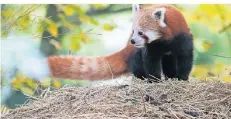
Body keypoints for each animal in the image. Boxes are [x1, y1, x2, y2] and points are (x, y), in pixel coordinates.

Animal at [46, 3, 193, 82]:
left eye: (141, 33)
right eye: (133, 31)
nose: (132, 40)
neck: (164, 41)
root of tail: (126, 48)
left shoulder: (182, 38)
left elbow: (185, 57)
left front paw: (181, 77)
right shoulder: (151, 47)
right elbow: (151, 61)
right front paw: (154, 79)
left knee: (169, 60)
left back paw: (170, 76)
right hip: (135, 54)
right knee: (138, 65)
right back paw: (141, 77)